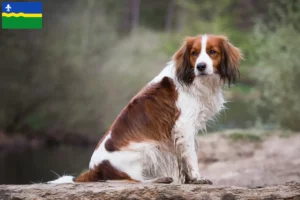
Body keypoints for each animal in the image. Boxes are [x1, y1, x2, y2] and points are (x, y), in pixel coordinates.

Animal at [48, 34, 241, 184]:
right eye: (194, 53)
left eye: (212, 52)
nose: (200, 66)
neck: (194, 80)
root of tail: (95, 168)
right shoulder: (184, 125)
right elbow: (192, 155)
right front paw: (197, 178)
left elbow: (184, 156)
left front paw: (188, 180)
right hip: (147, 148)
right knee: (130, 180)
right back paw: (158, 179)